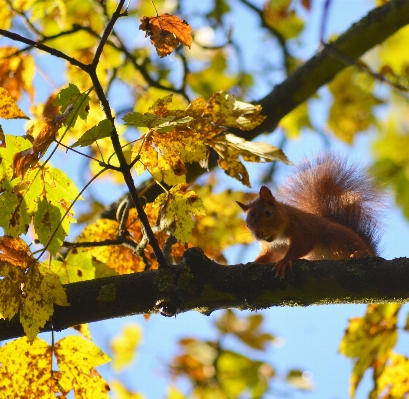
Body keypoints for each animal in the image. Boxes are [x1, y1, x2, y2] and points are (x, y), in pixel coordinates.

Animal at [237, 155, 380, 280]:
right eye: (247, 224)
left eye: (268, 213)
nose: (259, 235)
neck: (279, 238)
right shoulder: (271, 250)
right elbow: (266, 258)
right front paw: (248, 263)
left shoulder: (302, 227)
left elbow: (303, 243)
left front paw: (285, 261)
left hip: (336, 233)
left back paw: (360, 253)